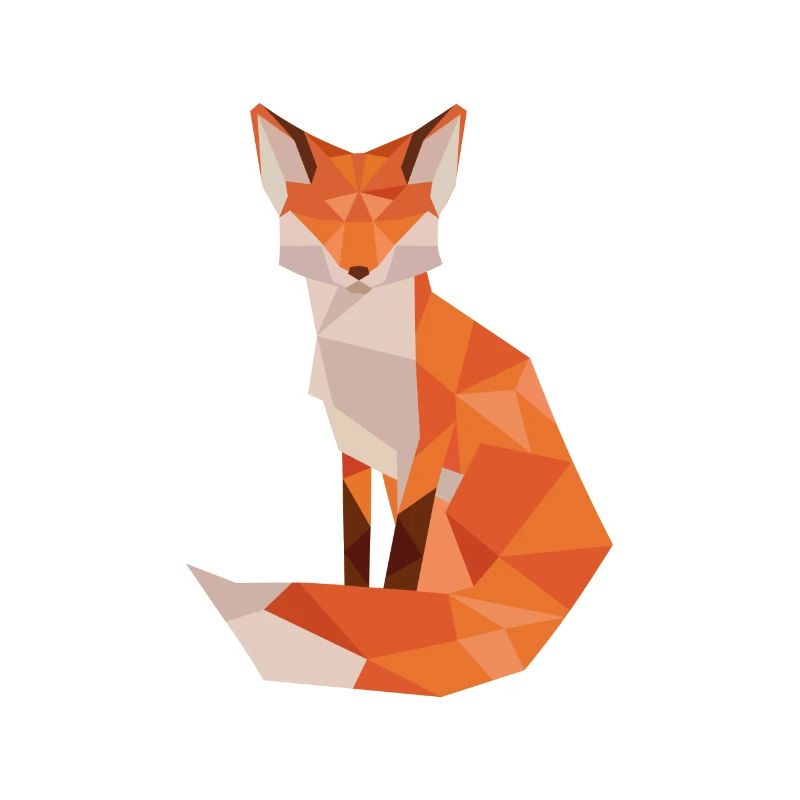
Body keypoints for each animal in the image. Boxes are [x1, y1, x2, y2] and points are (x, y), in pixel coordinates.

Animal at [190, 104, 611, 696]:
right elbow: (356, 548)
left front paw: (387, 611)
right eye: (328, 222)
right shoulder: (353, 450)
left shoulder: (426, 453)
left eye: (392, 223)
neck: (366, 357)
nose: (358, 271)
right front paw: (355, 602)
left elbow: (401, 563)